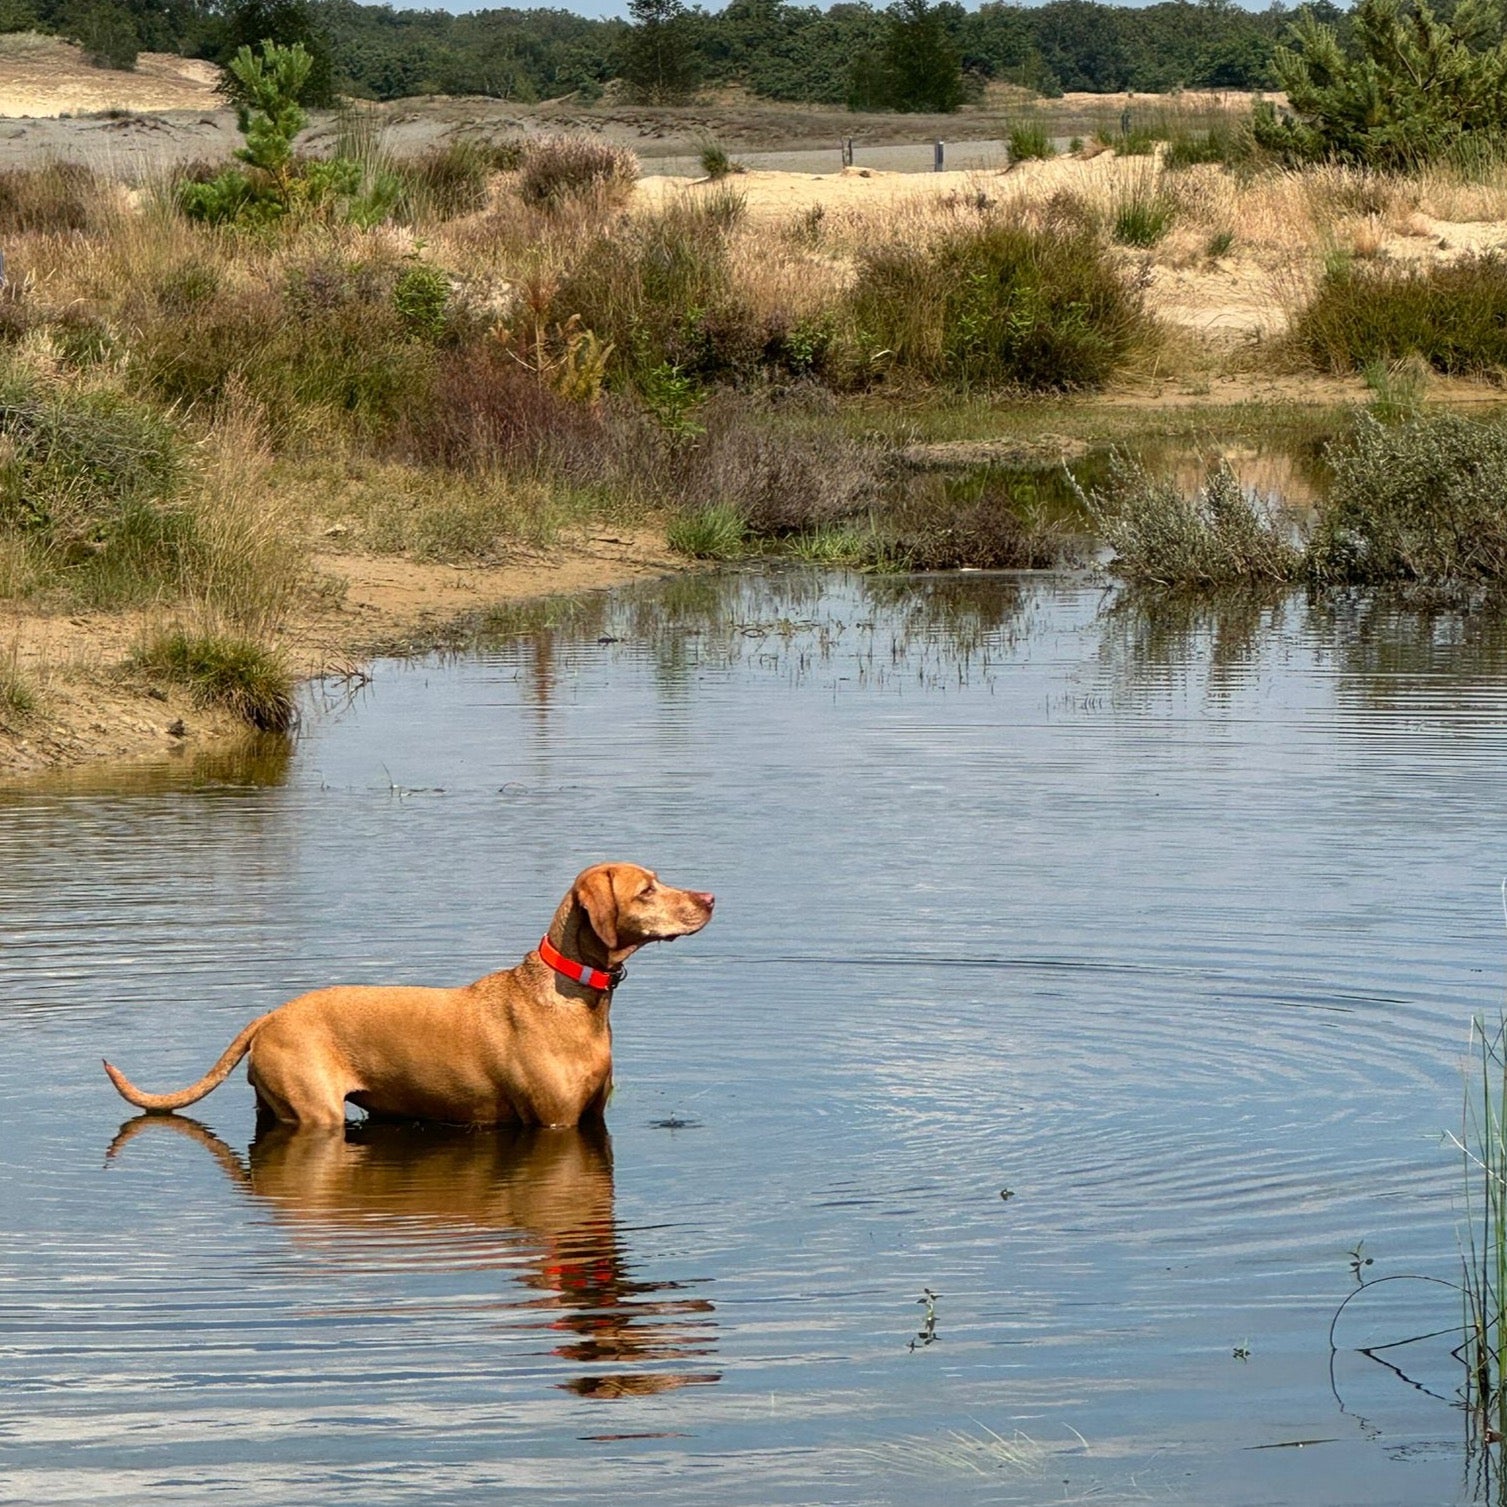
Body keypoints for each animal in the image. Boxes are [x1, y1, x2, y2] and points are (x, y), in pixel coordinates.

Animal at [103, 868, 714, 1127]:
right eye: (647, 889)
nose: (710, 897)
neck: (572, 996)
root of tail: (269, 1015)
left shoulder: (590, 1118)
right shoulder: (556, 1124)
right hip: (316, 1110)